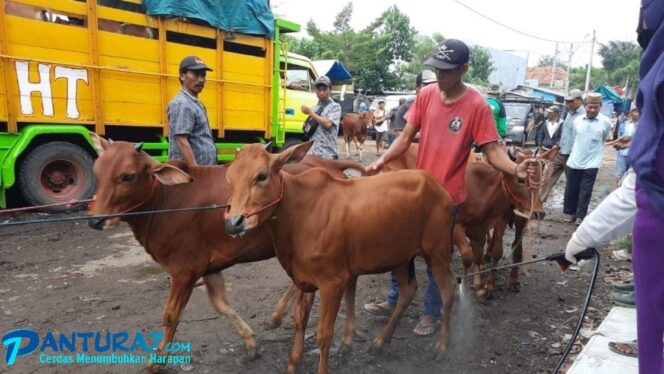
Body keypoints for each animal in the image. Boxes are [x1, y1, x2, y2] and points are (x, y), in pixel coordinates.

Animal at [86, 136, 366, 372]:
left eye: (128, 176)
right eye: (97, 172)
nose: (95, 220)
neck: (165, 202)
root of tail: (328, 162)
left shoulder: (184, 269)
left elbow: (170, 315)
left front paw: (156, 361)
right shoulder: (209, 267)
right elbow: (221, 304)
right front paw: (251, 342)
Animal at [224, 142, 456, 374]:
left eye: (261, 176)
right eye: (229, 178)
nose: (233, 223)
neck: (298, 214)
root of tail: (439, 188)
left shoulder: (332, 282)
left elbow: (324, 334)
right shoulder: (304, 279)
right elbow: (300, 320)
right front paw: (293, 363)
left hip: (437, 253)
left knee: (448, 291)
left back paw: (442, 346)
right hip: (400, 257)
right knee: (408, 291)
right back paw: (380, 343)